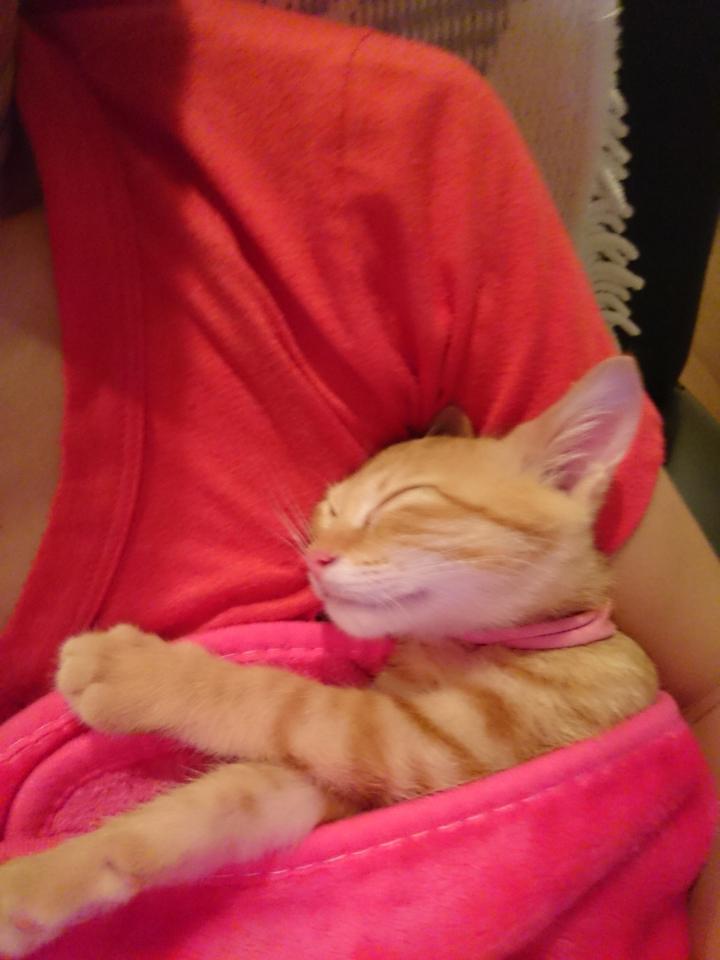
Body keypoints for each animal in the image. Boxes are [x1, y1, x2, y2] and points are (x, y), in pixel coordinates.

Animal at [0, 356, 658, 957]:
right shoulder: (334, 785)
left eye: (405, 502)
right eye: (331, 509)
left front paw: (134, 671)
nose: (314, 557)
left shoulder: (435, 746)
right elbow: (211, 807)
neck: (458, 646)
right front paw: (43, 880)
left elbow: (284, 701)